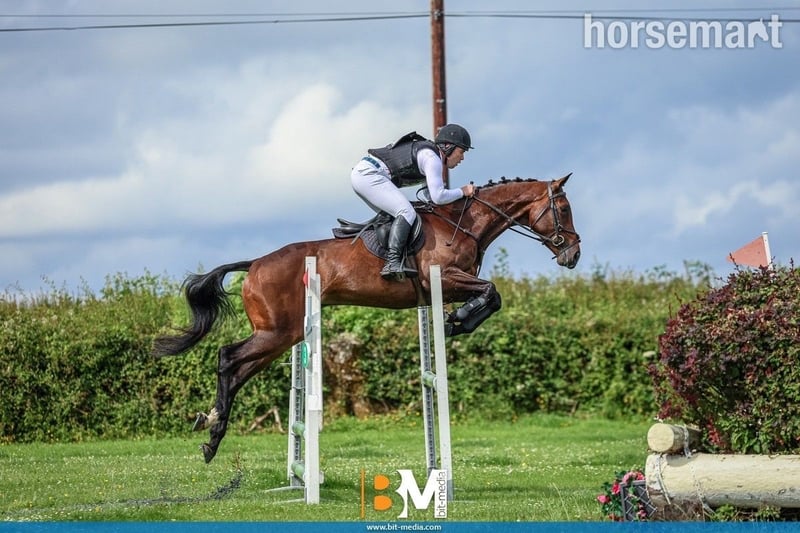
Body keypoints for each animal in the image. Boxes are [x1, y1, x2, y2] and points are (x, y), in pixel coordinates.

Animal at [152, 173, 581, 463]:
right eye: (563, 209)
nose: (572, 254)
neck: (464, 222)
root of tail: (254, 263)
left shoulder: (453, 283)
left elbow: (492, 295)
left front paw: (457, 320)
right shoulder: (444, 278)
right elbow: (492, 292)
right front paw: (457, 321)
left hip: (280, 337)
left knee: (237, 370)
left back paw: (210, 429)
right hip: (277, 332)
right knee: (227, 357)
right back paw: (212, 433)